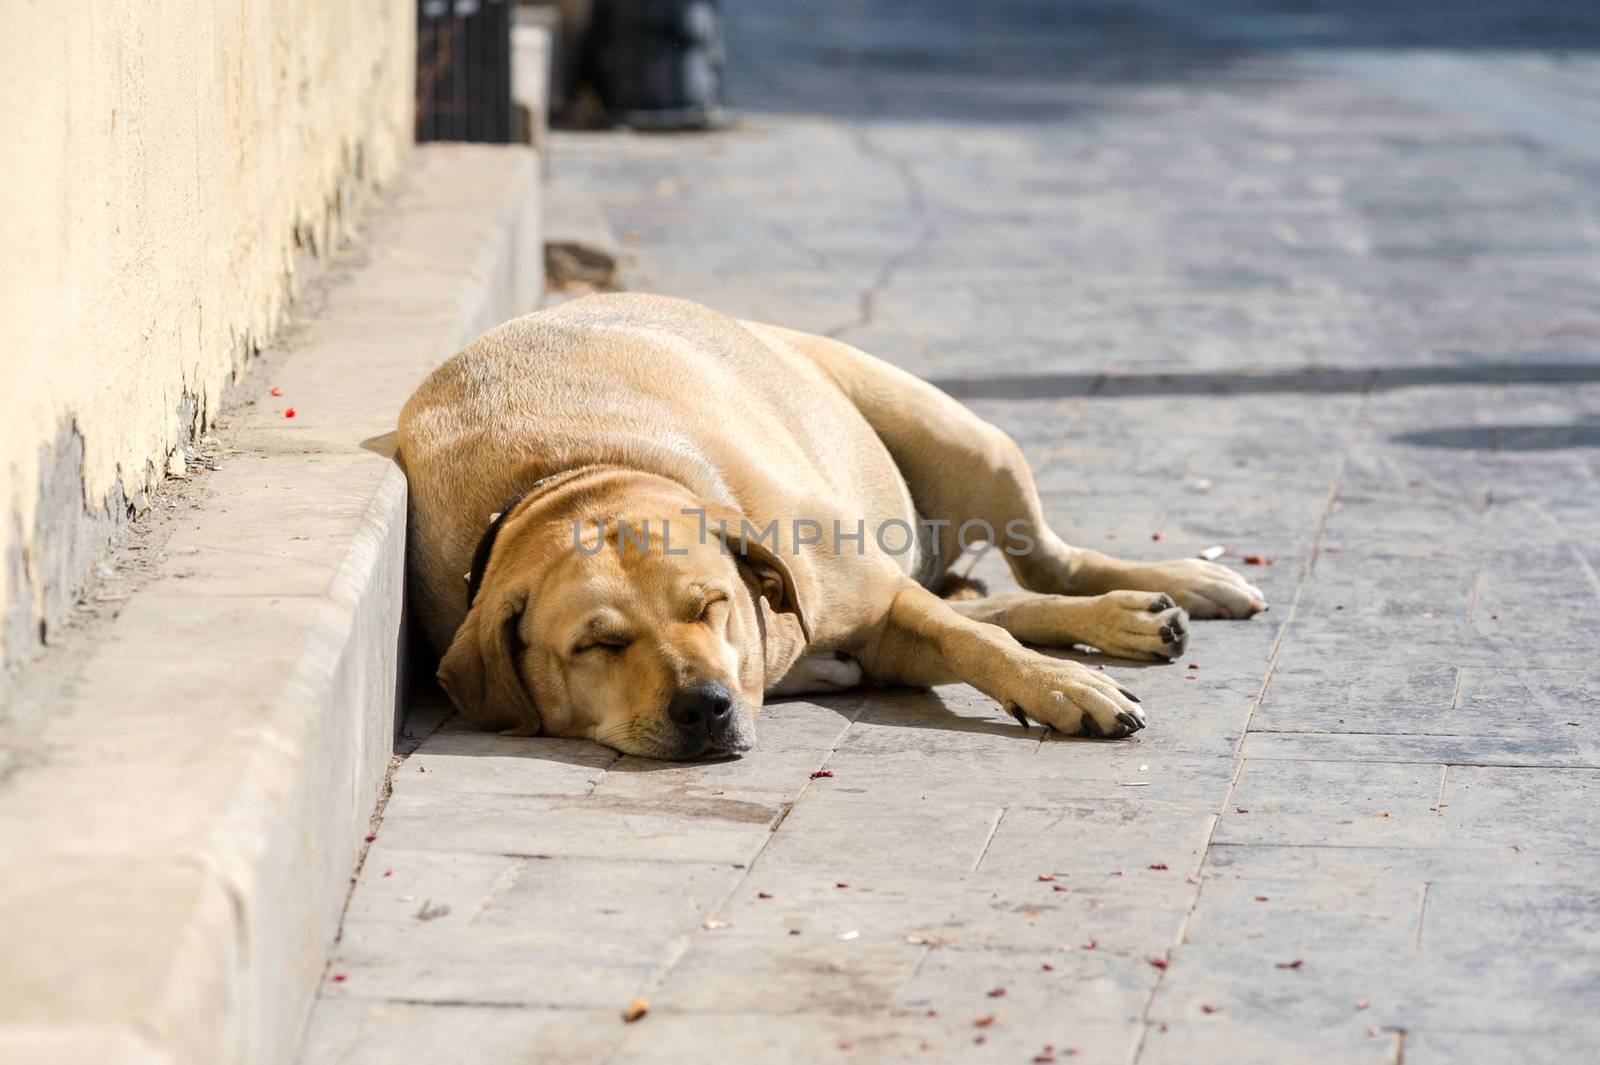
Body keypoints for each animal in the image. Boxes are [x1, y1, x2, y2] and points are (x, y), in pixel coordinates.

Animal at [396, 291, 1260, 754]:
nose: (703, 707)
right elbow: (969, 630)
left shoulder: (877, 600)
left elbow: (977, 639)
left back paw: (1165, 589)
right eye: (595, 645)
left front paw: (1059, 683)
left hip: (965, 439)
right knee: (1001, 595)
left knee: (1046, 563)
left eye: (712, 604)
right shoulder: (885, 643)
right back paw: (1136, 616)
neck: (570, 478)